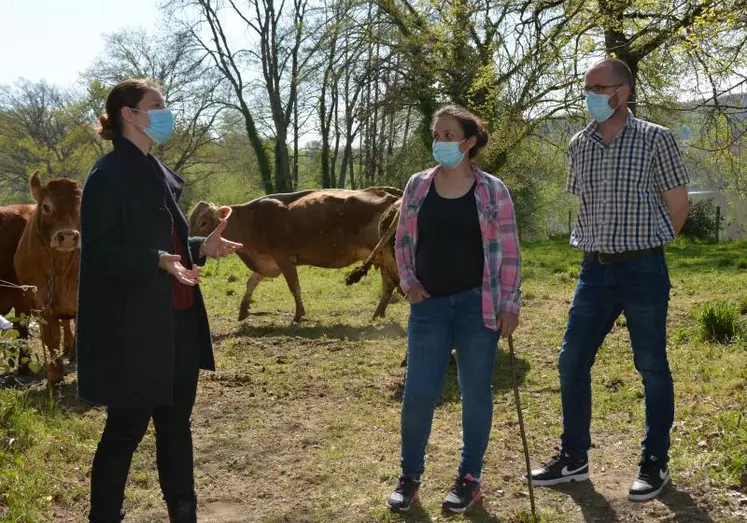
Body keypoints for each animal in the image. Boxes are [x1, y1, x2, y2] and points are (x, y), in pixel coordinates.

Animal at [191, 186, 404, 322]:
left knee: (392, 283)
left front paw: (299, 314)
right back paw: (377, 314)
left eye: (203, 222)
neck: (251, 219)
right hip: (383, 257)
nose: (190, 240)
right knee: (388, 285)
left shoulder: (283, 257)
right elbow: (251, 283)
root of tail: (391, 194)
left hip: (387, 255)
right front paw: (243, 310)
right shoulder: (267, 261)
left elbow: (294, 287)